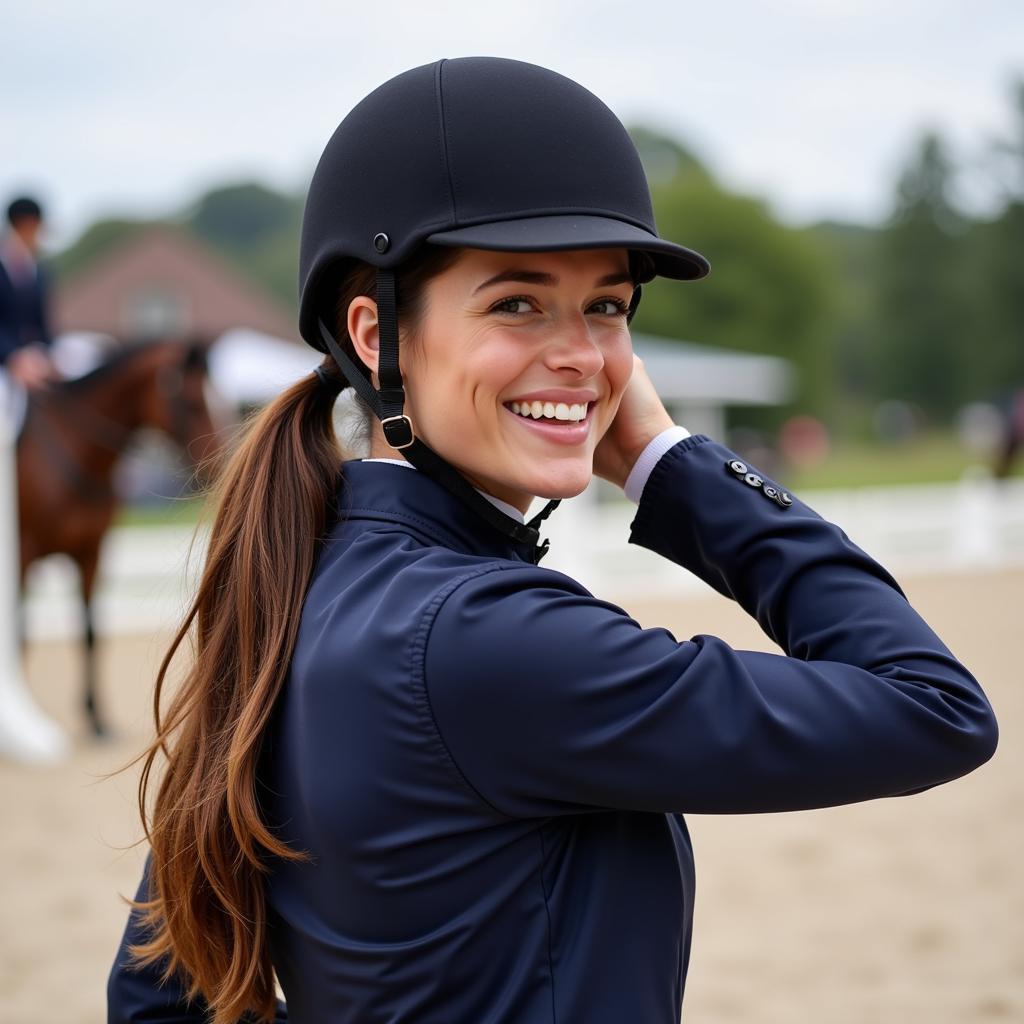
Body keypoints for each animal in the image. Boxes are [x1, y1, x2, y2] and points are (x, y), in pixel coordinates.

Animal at [14, 342, 223, 737]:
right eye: (190, 402)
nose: (217, 468)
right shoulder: (23, 556)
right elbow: (22, 632)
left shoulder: (92, 553)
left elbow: (91, 632)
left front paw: (96, 717)